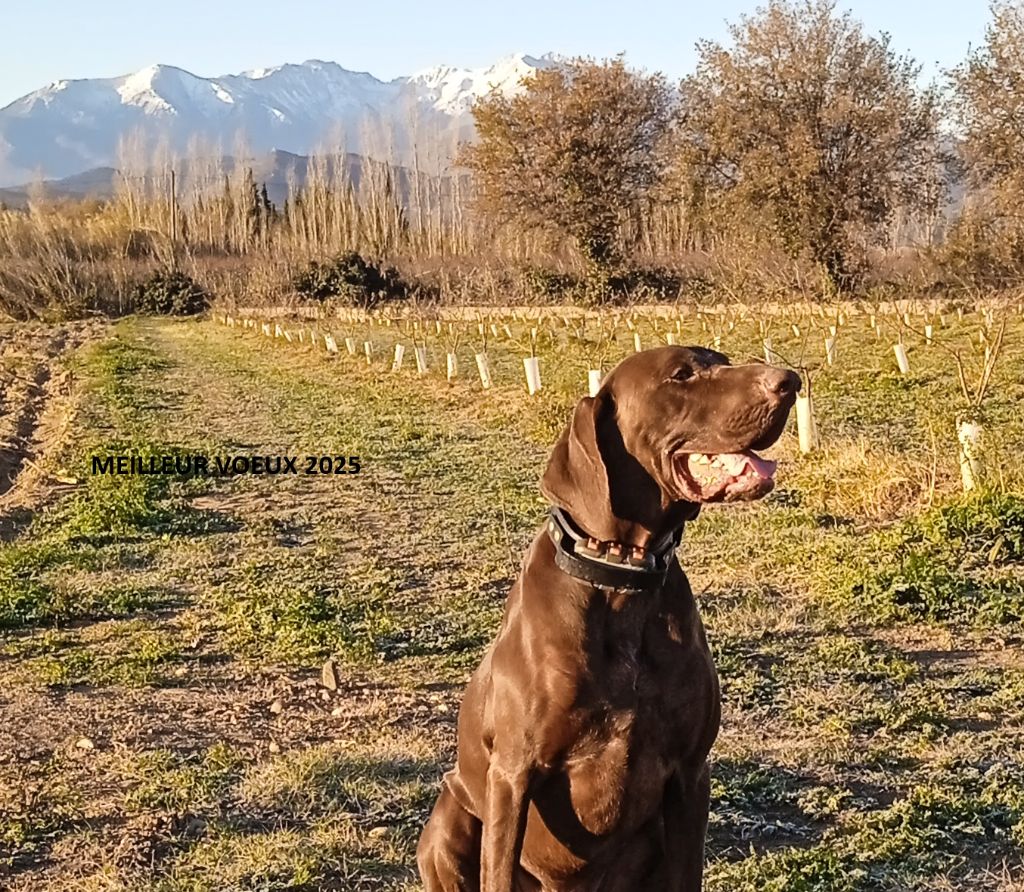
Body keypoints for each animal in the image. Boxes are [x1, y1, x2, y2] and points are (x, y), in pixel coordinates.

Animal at [415, 346, 798, 888]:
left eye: (721, 359)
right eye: (682, 374)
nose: (790, 381)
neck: (622, 579)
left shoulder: (690, 774)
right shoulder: (512, 774)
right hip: (450, 818)